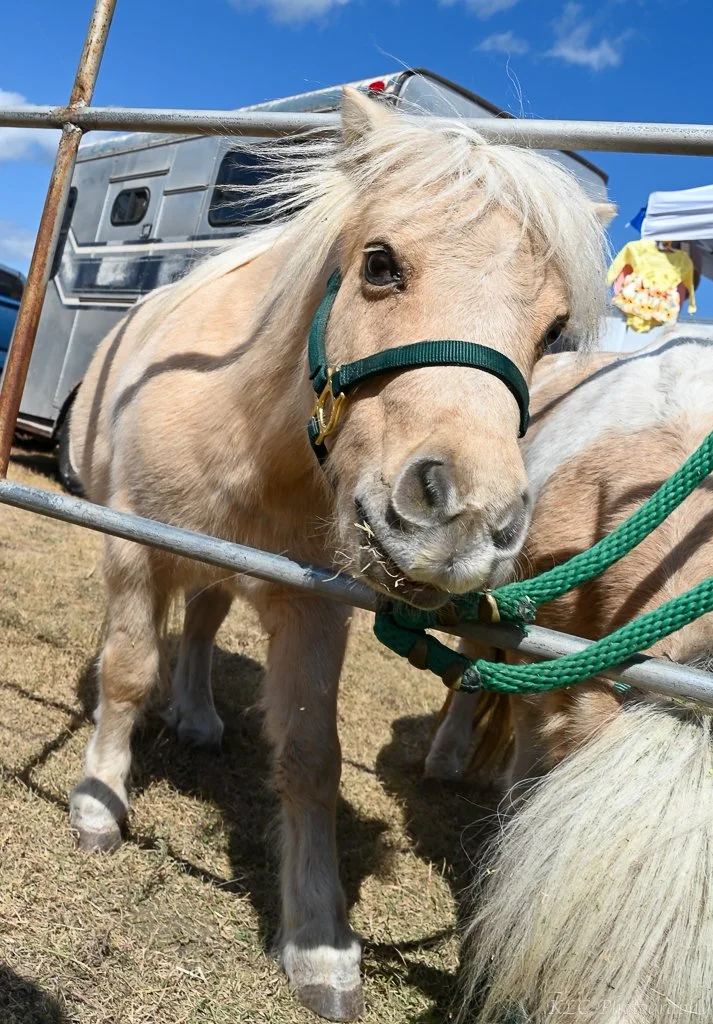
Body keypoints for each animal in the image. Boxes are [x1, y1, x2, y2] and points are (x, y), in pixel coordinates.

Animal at [67, 87, 611, 1020]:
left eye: (552, 331)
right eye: (380, 264)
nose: (465, 519)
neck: (251, 433)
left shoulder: (314, 604)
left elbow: (311, 760)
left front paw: (317, 944)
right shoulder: (138, 551)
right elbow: (129, 672)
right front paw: (100, 806)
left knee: (203, 626)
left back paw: (200, 716)